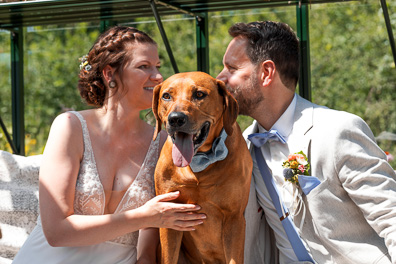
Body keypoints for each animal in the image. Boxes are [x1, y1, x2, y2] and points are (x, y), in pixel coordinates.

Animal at [153, 71, 252, 262]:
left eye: (199, 94)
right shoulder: (169, 217)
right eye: (166, 96)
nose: (176, 119)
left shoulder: (234, 218)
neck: (198, 162)